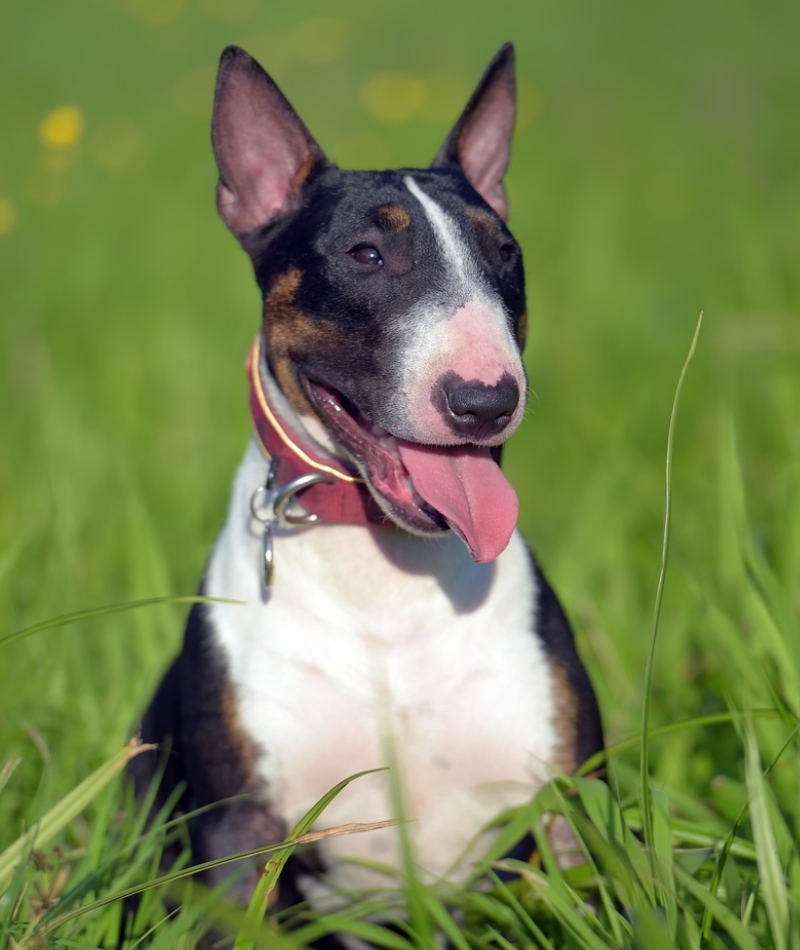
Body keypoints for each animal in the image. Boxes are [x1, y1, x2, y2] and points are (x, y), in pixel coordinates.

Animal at [133, 42, 600, 916]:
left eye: (505, 253)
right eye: (366, 255)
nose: (487, 401)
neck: (386, 581)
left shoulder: (566, 809)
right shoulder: (239, 829)